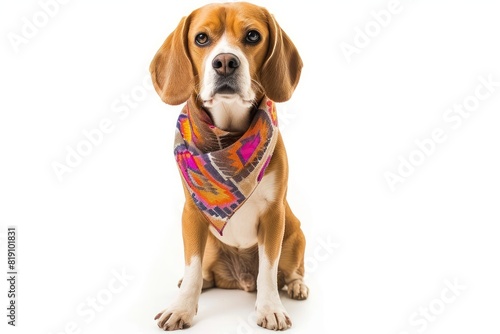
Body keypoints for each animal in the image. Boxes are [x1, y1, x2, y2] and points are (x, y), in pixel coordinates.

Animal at [148, 1, 306, 332]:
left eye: (252, 35)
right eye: (201, 38)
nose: (224, 62)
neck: (228, 137)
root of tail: (240, 279)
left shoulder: (274, 215)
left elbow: (268, 269)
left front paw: (270, 308)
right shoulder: (192, 213)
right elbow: (193, 267)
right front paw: (182, 307)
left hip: (296, 233)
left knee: (291, 270)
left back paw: (297, 285)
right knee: (203, 272)